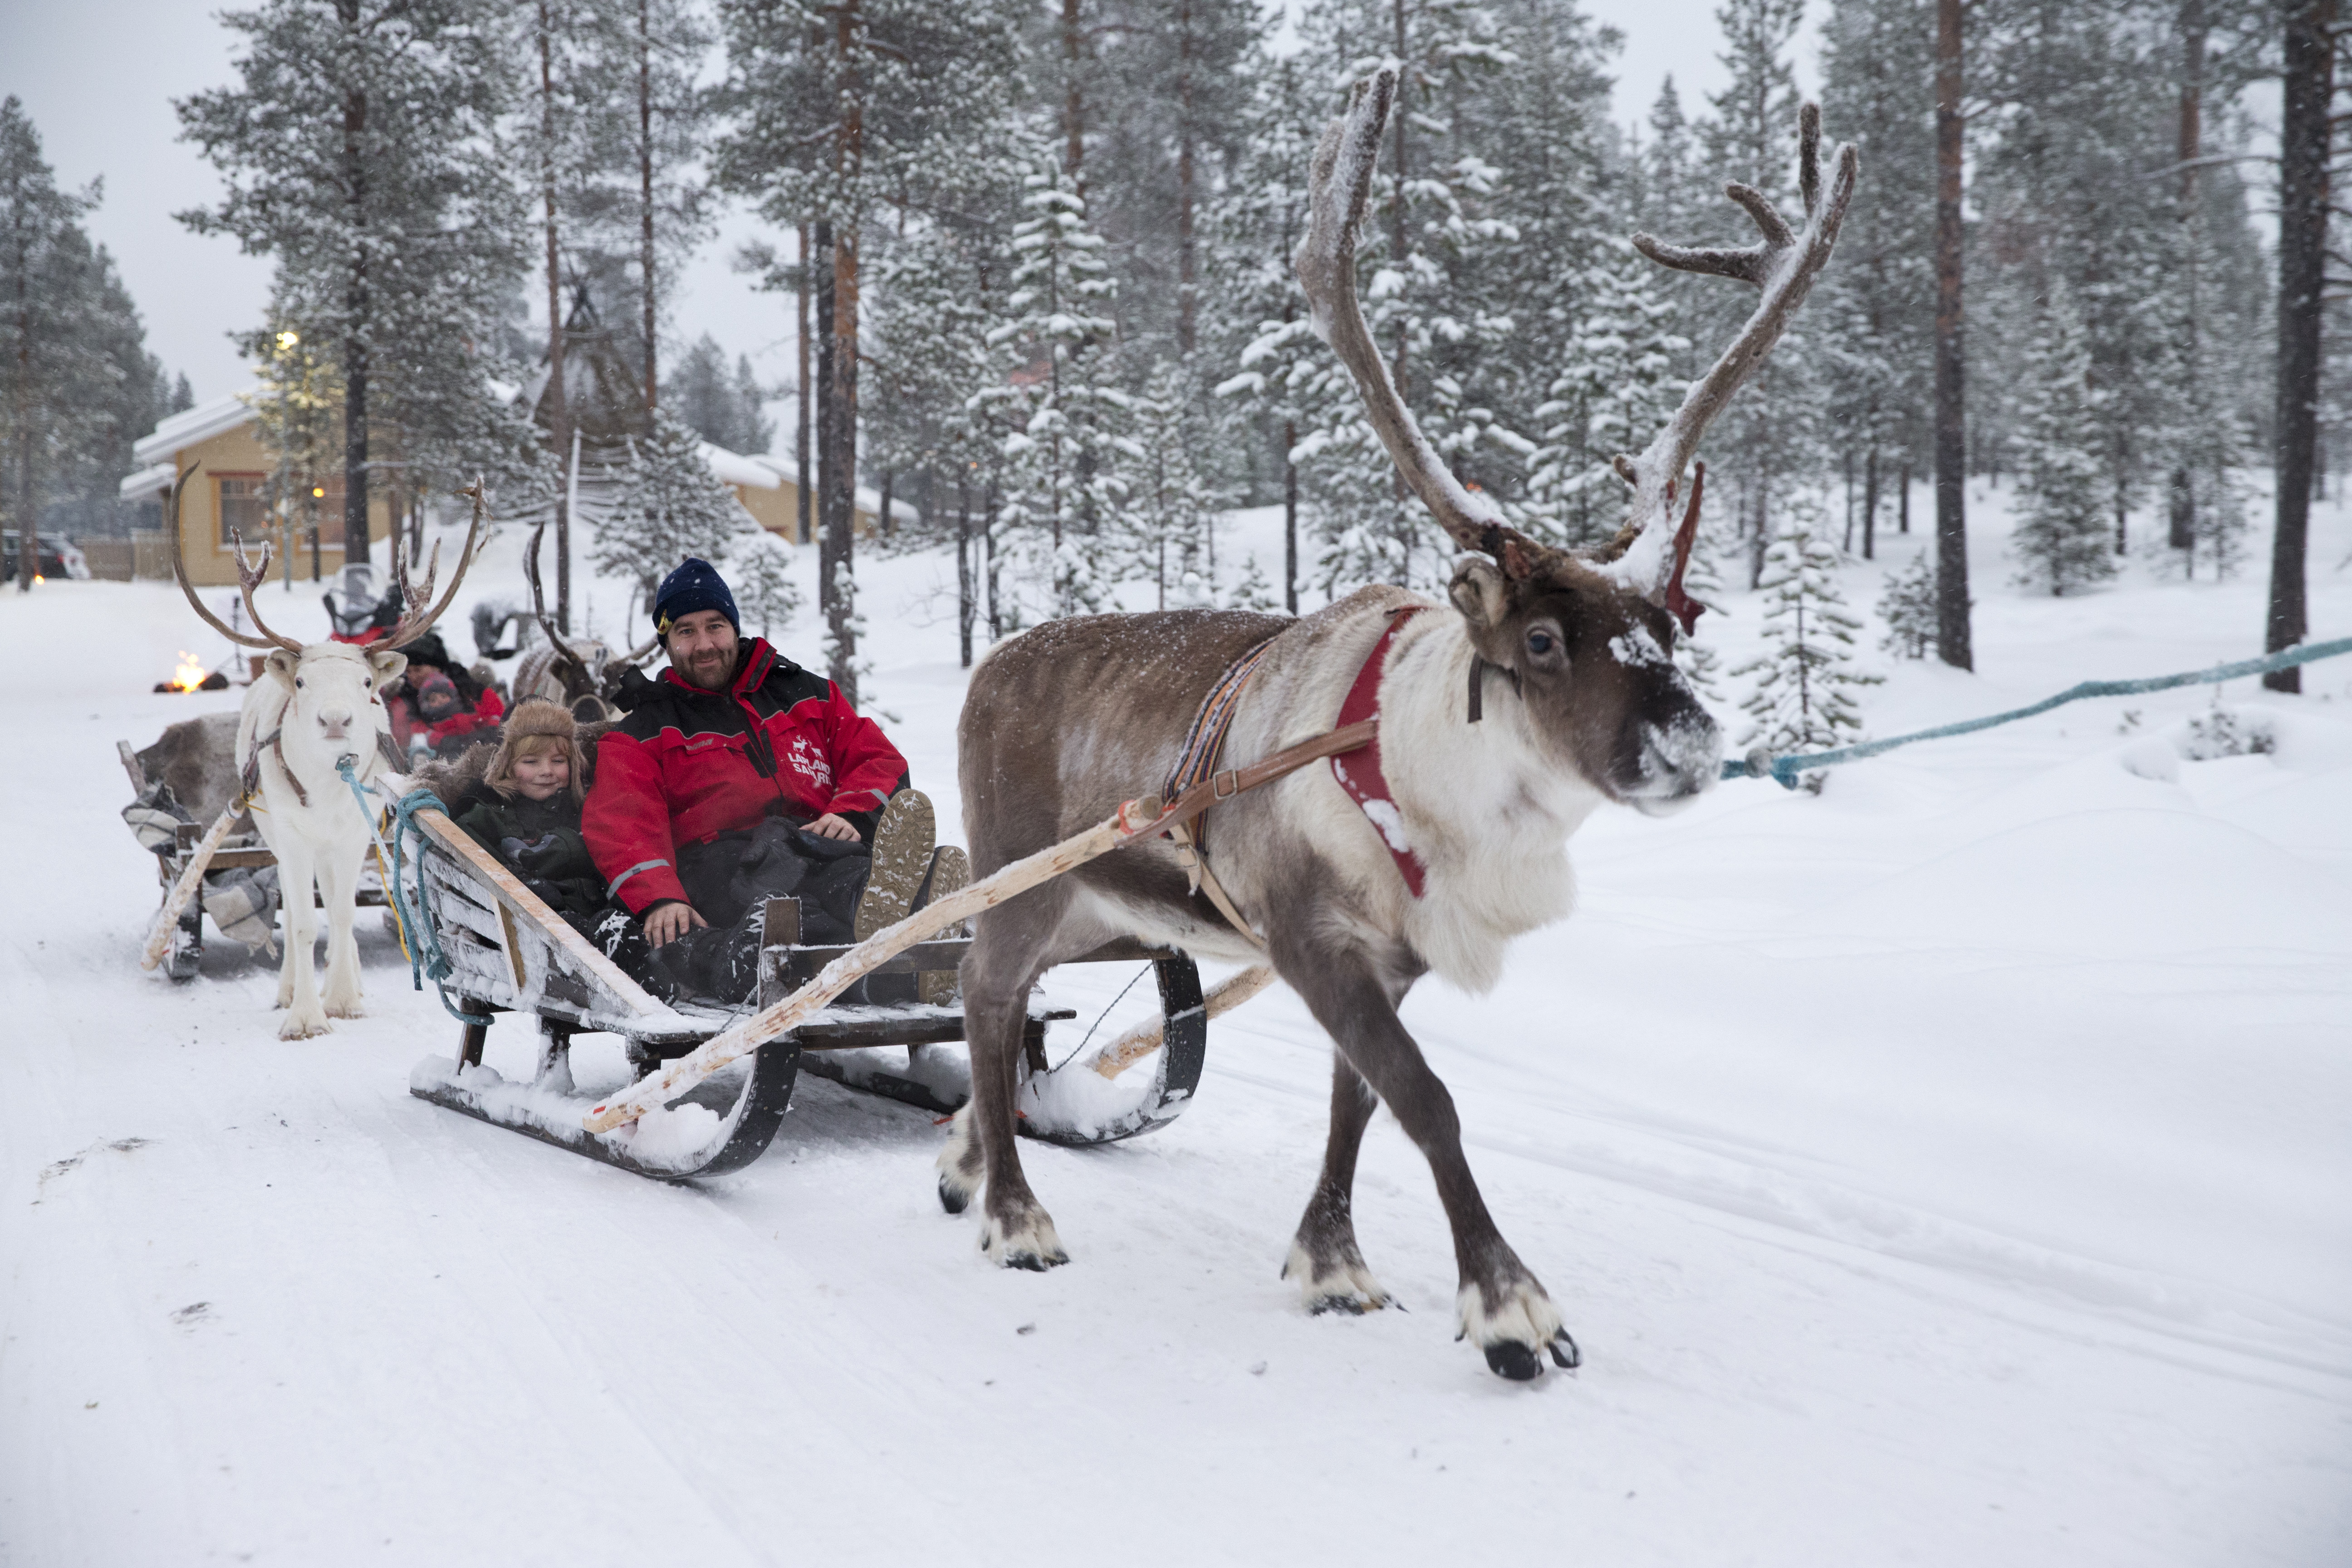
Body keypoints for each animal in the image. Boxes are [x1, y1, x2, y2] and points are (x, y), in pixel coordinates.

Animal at [169, 467, 486, 1038]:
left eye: (367, 682)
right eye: (301, 681)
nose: (336, 719)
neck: (324, 787)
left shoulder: (356, 832)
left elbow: (341, 914)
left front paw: (343, 999)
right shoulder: (292, 836)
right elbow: (301, 923)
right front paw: (305, 1017)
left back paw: (351, 982)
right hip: (276, 836)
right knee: (294, 908)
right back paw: (289, 990)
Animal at [938, 76, 1856, 1379]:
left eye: (1670, 627)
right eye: (1541, 641)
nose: (1690, 747)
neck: (1441, 793)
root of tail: (990, 665)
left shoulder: (1397, 956)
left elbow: (1356, 1102)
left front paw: (1330, 1262)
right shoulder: (1310, 935)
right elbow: (1426, 1100)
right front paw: (1510, 1305)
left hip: (1103, 906)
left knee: (1006, 1006)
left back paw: (965, 1162)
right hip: (1022, 876)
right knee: (982, 989)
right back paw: (1018, 1214)